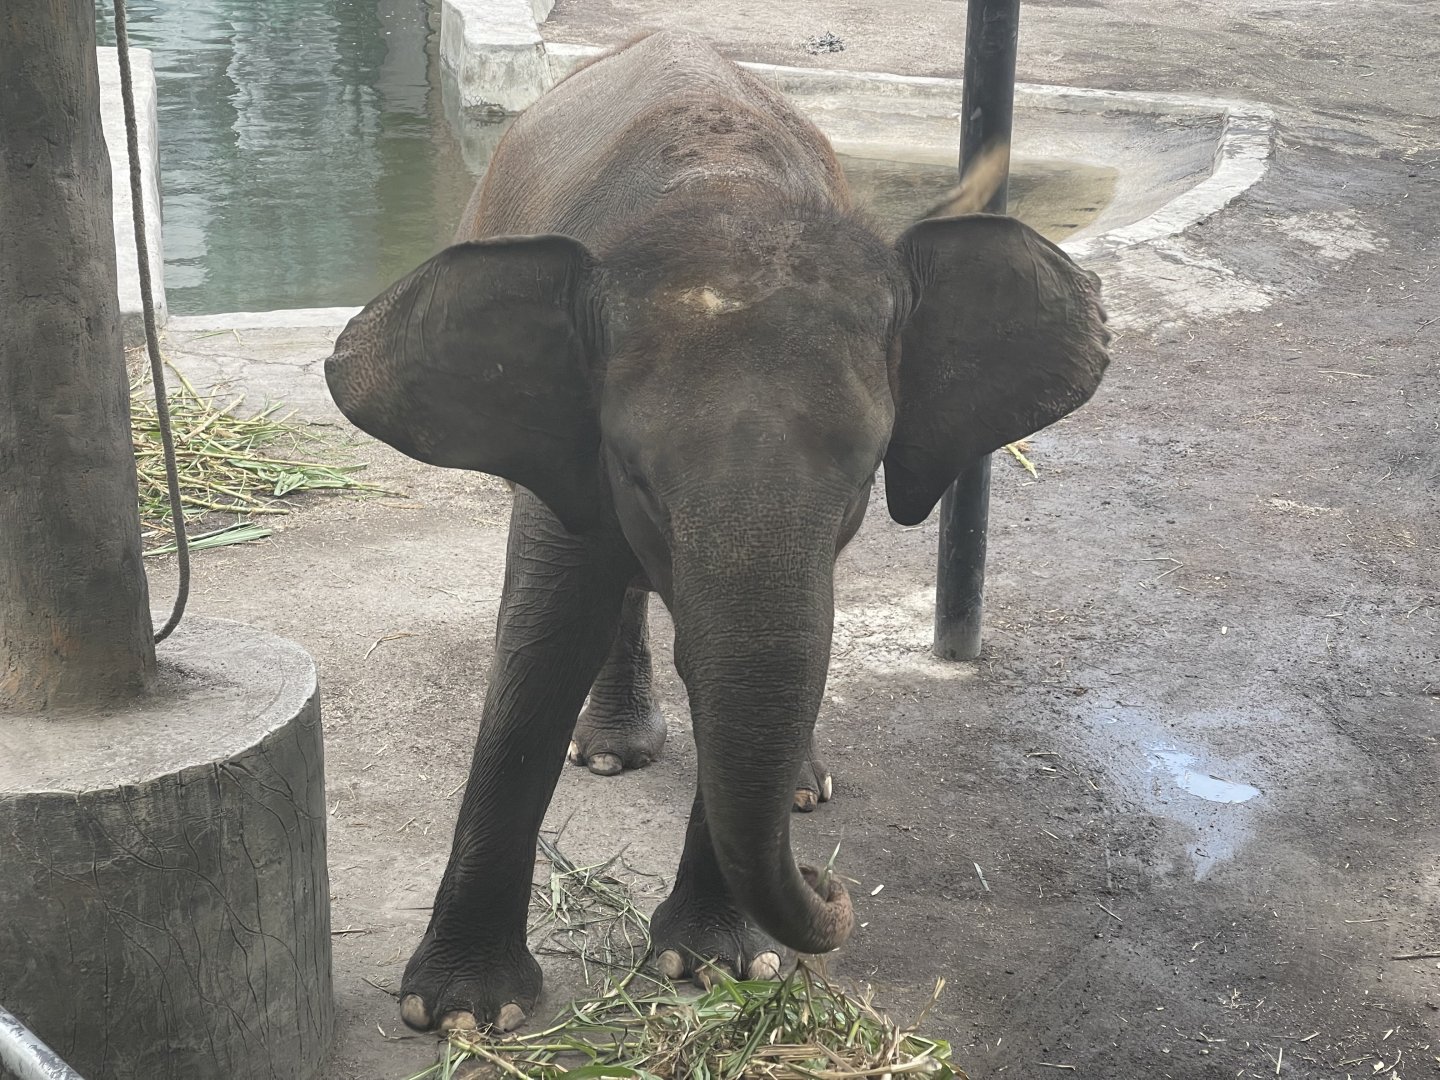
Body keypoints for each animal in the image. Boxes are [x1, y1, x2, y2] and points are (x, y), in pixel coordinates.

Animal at [324, 29, 1109, 1034]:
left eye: (867, 470)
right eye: (636, 474)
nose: (830, 888)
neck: (725, 193)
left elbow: (788, 648)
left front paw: (719, 966)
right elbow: (541, 646)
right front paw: (460, 1013)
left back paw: (803, 789)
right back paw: (613, 754)